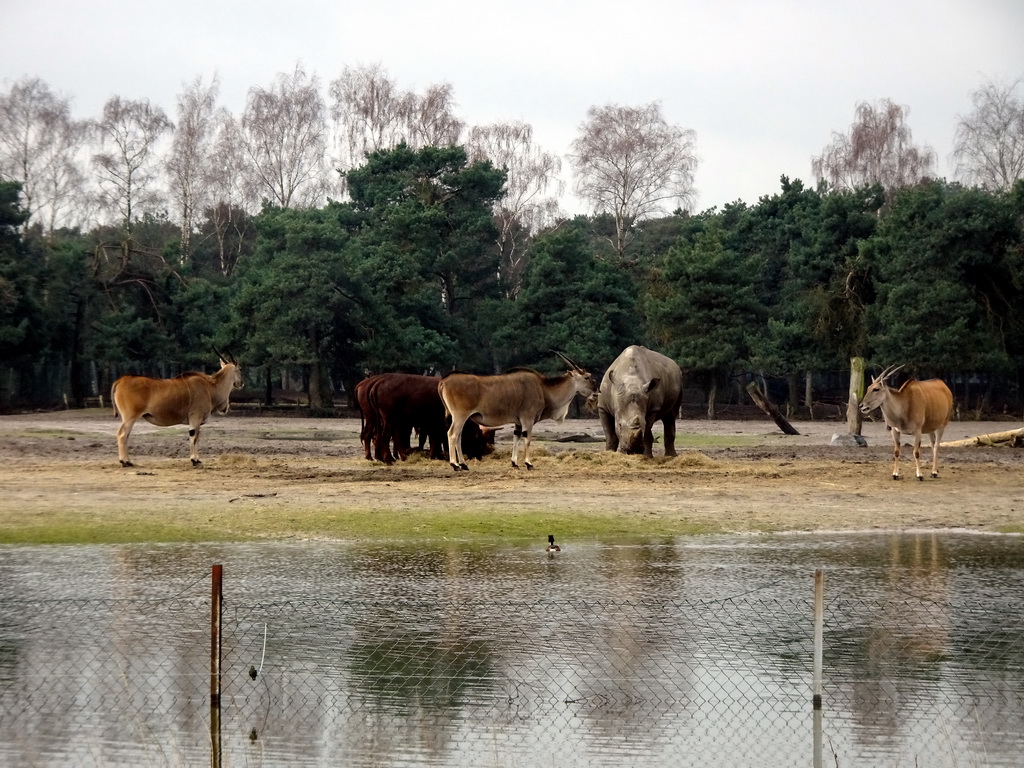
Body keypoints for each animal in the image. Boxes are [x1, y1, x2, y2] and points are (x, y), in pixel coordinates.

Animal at [110, 356, 243, 468]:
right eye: (240, 369)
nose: (241, 383)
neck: (210, 387)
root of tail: (120, 380)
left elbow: (196, 436)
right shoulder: (195, 416)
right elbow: (194, 436)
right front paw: (195, 460)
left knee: (125, 435)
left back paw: (126, 460)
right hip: (130, 417)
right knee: (122, 434)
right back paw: (125, 462)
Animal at [436, 354, 598, 473]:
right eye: (587, 377)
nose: (596, 392)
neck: (543, 388)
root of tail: (444, 381)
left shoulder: (518, 422)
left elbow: (516, 438)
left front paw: (514, 463)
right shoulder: (528, 419)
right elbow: (527, 439)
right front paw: (529, 463)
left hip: (460, 418)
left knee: (458, 436)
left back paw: (463, 464)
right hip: (460, 416)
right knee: (452, 434)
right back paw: (455, 465)